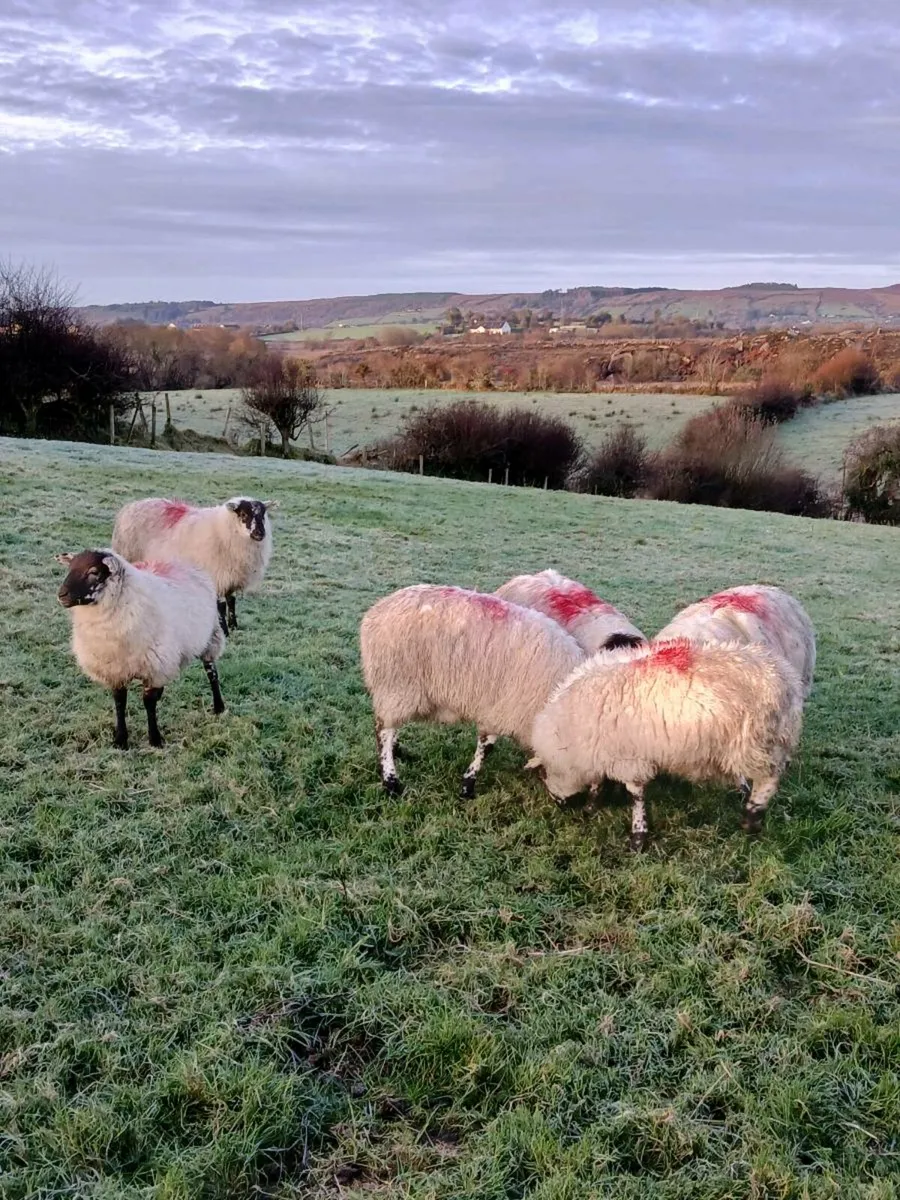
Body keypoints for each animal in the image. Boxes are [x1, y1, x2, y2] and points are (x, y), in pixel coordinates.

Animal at [56, 549, 226, 749]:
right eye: (70, 567)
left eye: (94, 572)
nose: (61, 595)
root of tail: (179, 560)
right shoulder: (116, 670)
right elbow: (120, 702)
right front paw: (120, 740)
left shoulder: (155, 666)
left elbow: (148, 703)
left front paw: (155, 739)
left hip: (210, 636)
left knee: (212, 672)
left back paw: (219, 706)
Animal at [111, 496, 277, 637]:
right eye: (243, 514)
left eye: (263, 515)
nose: (260, 533)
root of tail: (131, 506)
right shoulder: (215, 575)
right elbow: (221, 606)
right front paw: (224, 631)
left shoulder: (230, 576)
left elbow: (231, 601)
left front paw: (234, 626)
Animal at [359, 584, 584, 798]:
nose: (573, 805)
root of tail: (375, 612)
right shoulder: (503, 708)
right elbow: (486, 746)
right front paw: (468, 787)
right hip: (397, 684)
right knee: (383, 732)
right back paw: (391, 783)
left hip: (398, 691)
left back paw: (398, 751)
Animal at [528, 637, 804, 852]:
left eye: (542, 775)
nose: (560, 806)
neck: (568, 734)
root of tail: (785, 680)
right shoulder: (603, 751)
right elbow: (598, 781)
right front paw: (592, 805)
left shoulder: (629, 758)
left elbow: (636, 795)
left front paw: (638, 837)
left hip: (756, 742)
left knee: (769, 779)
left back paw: (752, 817)